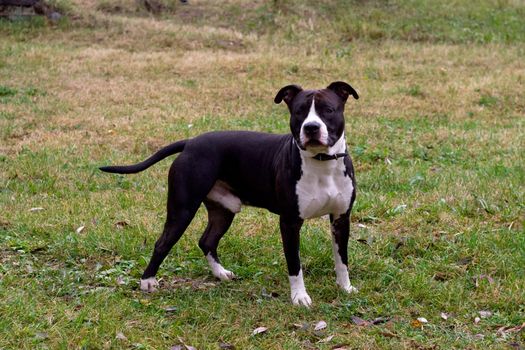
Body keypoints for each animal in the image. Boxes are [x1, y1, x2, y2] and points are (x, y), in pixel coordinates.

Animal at [100, 82, 358, 306]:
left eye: (328, 110)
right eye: (299, 112)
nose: (311, 127)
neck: (322, 163)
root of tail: (191, 142)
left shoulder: (341, 219)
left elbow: (342, 259)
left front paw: (345, 288)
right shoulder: (290, 222)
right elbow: (295, 264)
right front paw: (299, 297)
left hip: (223, 210)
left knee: (206, 241)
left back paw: (220, 273)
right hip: (182, 209)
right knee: (162, 243)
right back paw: (148, 282)